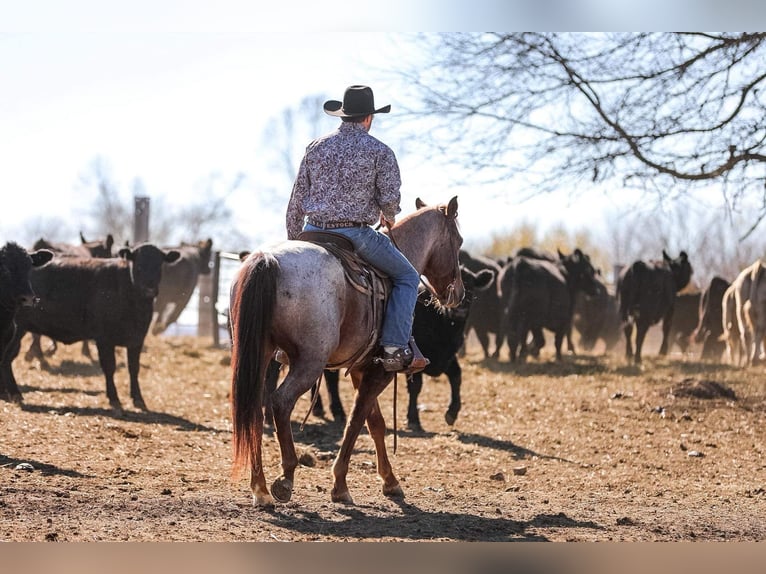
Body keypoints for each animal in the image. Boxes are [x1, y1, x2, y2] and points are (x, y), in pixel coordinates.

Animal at [229, 196, 464, 506]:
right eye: (458, 241)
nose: (459, 294)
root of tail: (266, 260)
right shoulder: (380, 370)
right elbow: (356, 420)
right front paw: (340, 485)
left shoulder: (361, 368)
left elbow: (375, 422)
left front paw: (390, 481)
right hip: (309, 362)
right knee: (280, 402)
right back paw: (286, 478)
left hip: (259, 355)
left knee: (254, 408)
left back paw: (260, 487)